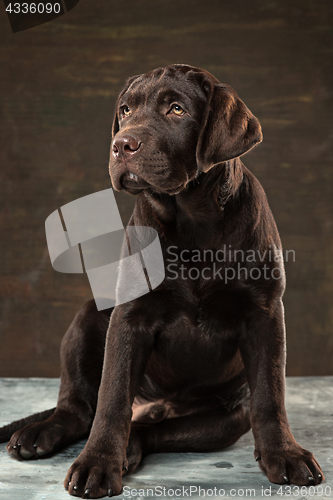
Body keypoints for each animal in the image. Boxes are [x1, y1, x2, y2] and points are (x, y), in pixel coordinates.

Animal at [0, 65, 322, 496]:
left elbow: (271, 395)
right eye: (125, 109)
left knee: (152, 430)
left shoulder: (265, 313)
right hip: (86, 319)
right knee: (80, 409)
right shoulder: (129, 317)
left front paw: (285, 455)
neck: (192, 219)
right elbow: (112, 398)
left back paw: (131, 449)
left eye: (176, 109)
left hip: (224, 419)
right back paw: (41, 433)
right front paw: (97, 462)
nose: (122, 145)